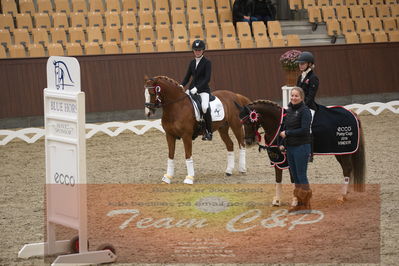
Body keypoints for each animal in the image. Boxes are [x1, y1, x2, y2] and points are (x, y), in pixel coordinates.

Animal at [236, 99, 368, 202]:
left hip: (343, 150)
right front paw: (277, 200)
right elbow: (278, 179)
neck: (279, 125)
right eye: (241, 122)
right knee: (348, 169)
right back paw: (346, 193)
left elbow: (293, 179)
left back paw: (342, 195)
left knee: (347, 169)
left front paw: (295, 200)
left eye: (250, 120)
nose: (248, 141)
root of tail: (351, 113)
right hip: (341, 152)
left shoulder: (289, 159)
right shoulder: (277, 158)